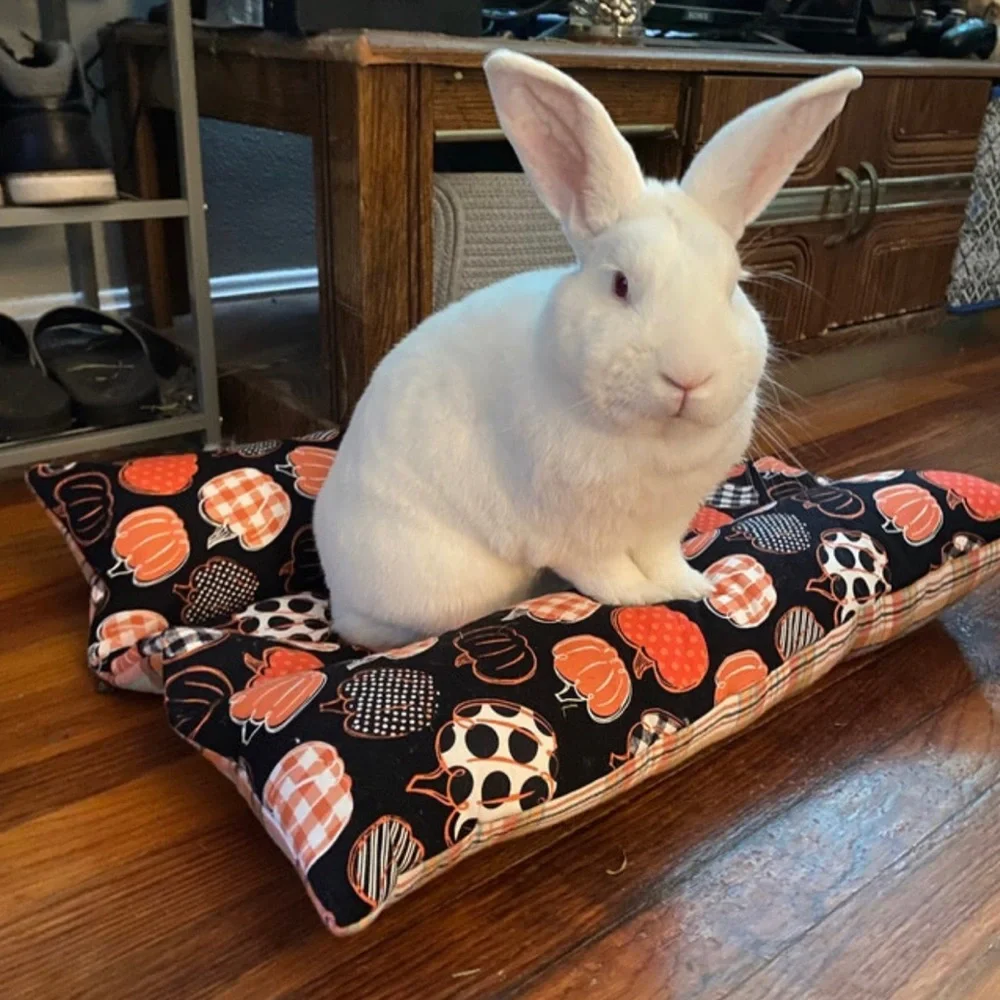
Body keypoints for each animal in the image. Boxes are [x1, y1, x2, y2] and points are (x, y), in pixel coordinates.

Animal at [314, 50, 862, 651]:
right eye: (620, 285)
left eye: (732, 286)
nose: (688, 378)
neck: (654, 440)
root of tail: (336, 587)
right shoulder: (576, 534)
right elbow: (607, 573)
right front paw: (641, 598)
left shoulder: (666, 523)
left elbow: (663, 558)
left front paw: (691, 585)